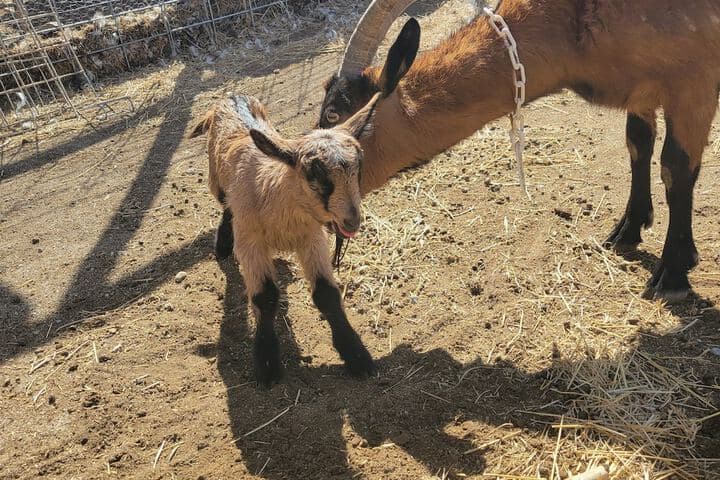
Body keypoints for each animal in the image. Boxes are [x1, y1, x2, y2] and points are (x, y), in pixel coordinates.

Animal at [189, 93, 380, 386]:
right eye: (314, 175)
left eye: (359, 168)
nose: (352, 221)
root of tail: (232, 96)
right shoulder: (250, 242)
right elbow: (265, 296)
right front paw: (267, 365)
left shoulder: (312, 238)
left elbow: (327, 294)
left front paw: (356, 356)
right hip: (216, 179)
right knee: (226, 205)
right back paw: (222, 245)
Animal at [318, 0, 720, 303]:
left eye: (334, 113)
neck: (571, 24)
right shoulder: (640, 87)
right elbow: (637, 144)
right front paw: (628, 231)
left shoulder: (695, 84)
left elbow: (676, 169)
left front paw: (673, 274)